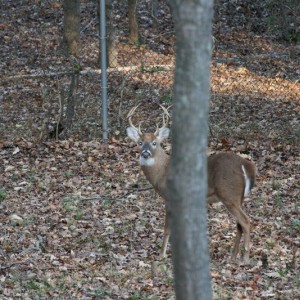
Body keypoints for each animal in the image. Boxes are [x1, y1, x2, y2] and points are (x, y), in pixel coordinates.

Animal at [126, 105, 255, 262]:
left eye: (154, 143)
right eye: (139, 142)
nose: (145, 153)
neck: (163, 171)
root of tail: (246, 165)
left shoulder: (169, 197)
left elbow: (167, 227)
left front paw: (162, 254)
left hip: (229, 194)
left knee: (246, 221)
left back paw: (245, 258)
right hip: (238, 197)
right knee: (239, 225)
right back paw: (233, 256)